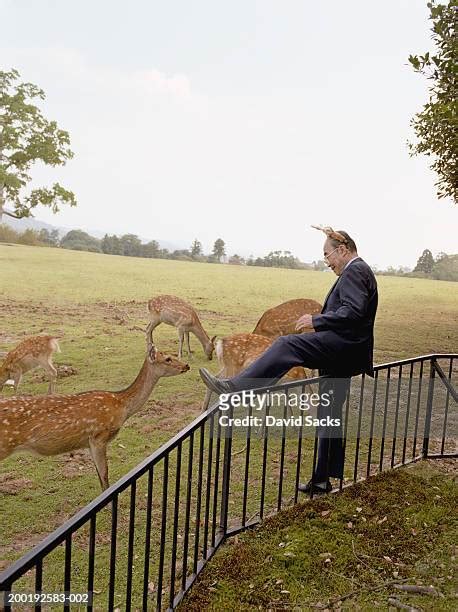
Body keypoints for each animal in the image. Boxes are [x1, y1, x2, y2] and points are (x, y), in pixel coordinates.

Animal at [0, 328, 190, 490]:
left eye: (173, 354)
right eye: (167, 359)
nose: (186, 366)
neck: (122, 407)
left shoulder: (89, 442)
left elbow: (100, 478)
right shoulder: (99, 436)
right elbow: (105, 478)